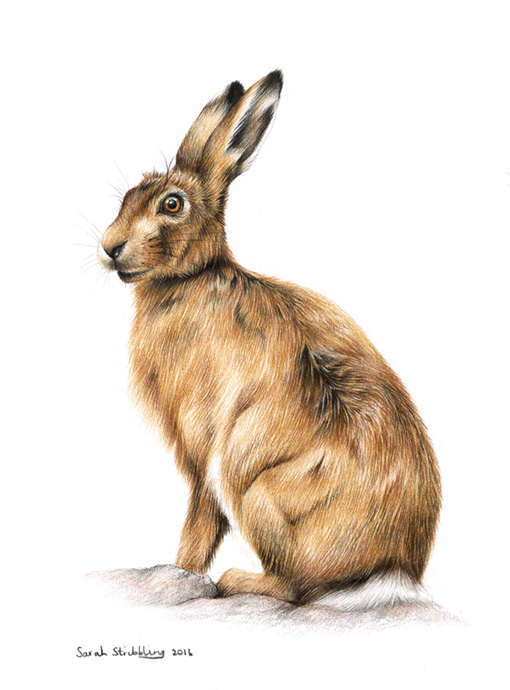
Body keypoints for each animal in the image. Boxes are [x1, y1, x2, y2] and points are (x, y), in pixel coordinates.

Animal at [97, 70, 441, 608]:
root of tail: (392, 570)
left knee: (294, 587)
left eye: (171, 204)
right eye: (127, 196)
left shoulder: (202, 449)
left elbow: (199, 522)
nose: (109, 248)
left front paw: (182, 571)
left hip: (257, 493)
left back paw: (238, 580)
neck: (193, 278)